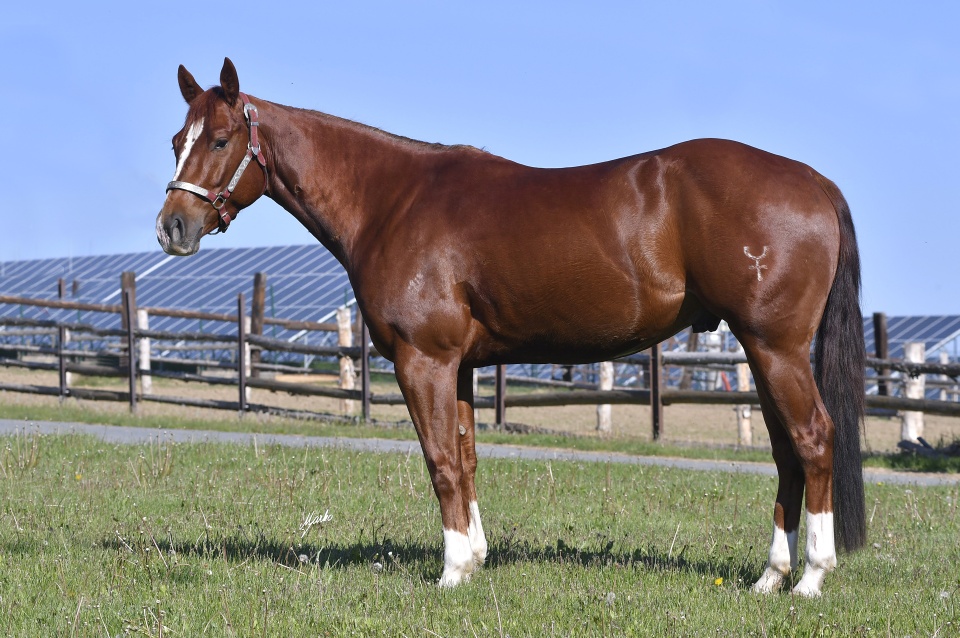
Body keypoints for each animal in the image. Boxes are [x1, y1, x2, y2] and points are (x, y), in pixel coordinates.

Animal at [154, 57, 868, 596]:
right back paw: (770, 578)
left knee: (813, 439)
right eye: (176, 142)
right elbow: (467, 456)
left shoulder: (424, 359)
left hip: (775, 348)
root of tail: (814, 182)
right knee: (785, 452)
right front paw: (472, 560)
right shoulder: (461, 366)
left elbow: (440, 460)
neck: (393, 202)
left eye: (220, 140)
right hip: (761, 352)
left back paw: (810, 578)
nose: (172, 228)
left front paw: (448, 574)